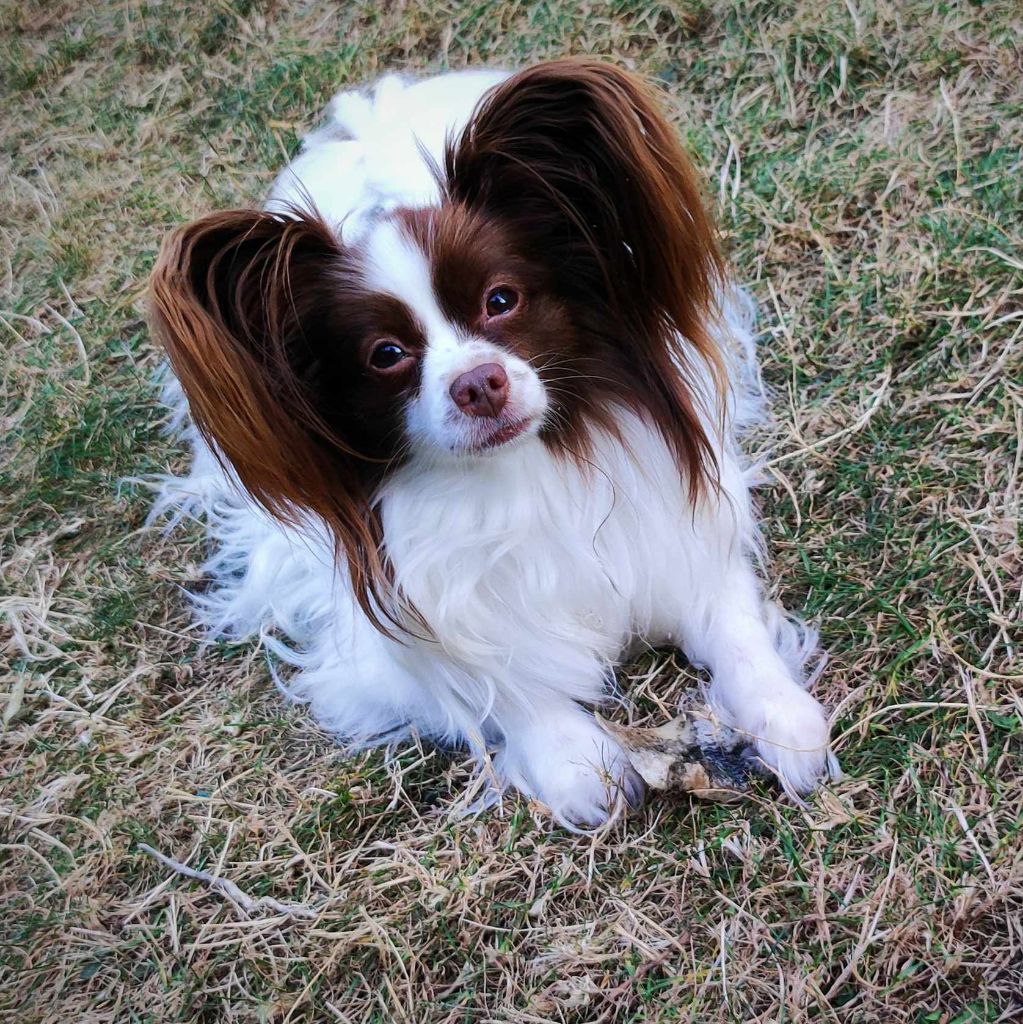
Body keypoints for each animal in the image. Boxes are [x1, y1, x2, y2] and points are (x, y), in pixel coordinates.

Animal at [153, 59, 839, 823]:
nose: (478, 383)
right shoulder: (389, 648)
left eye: (501, 300)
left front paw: (780, 714)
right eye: (386, 354)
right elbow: (500, 686)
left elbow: (735, 628)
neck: (521, 471)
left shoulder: (686, 535)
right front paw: (575, 759)